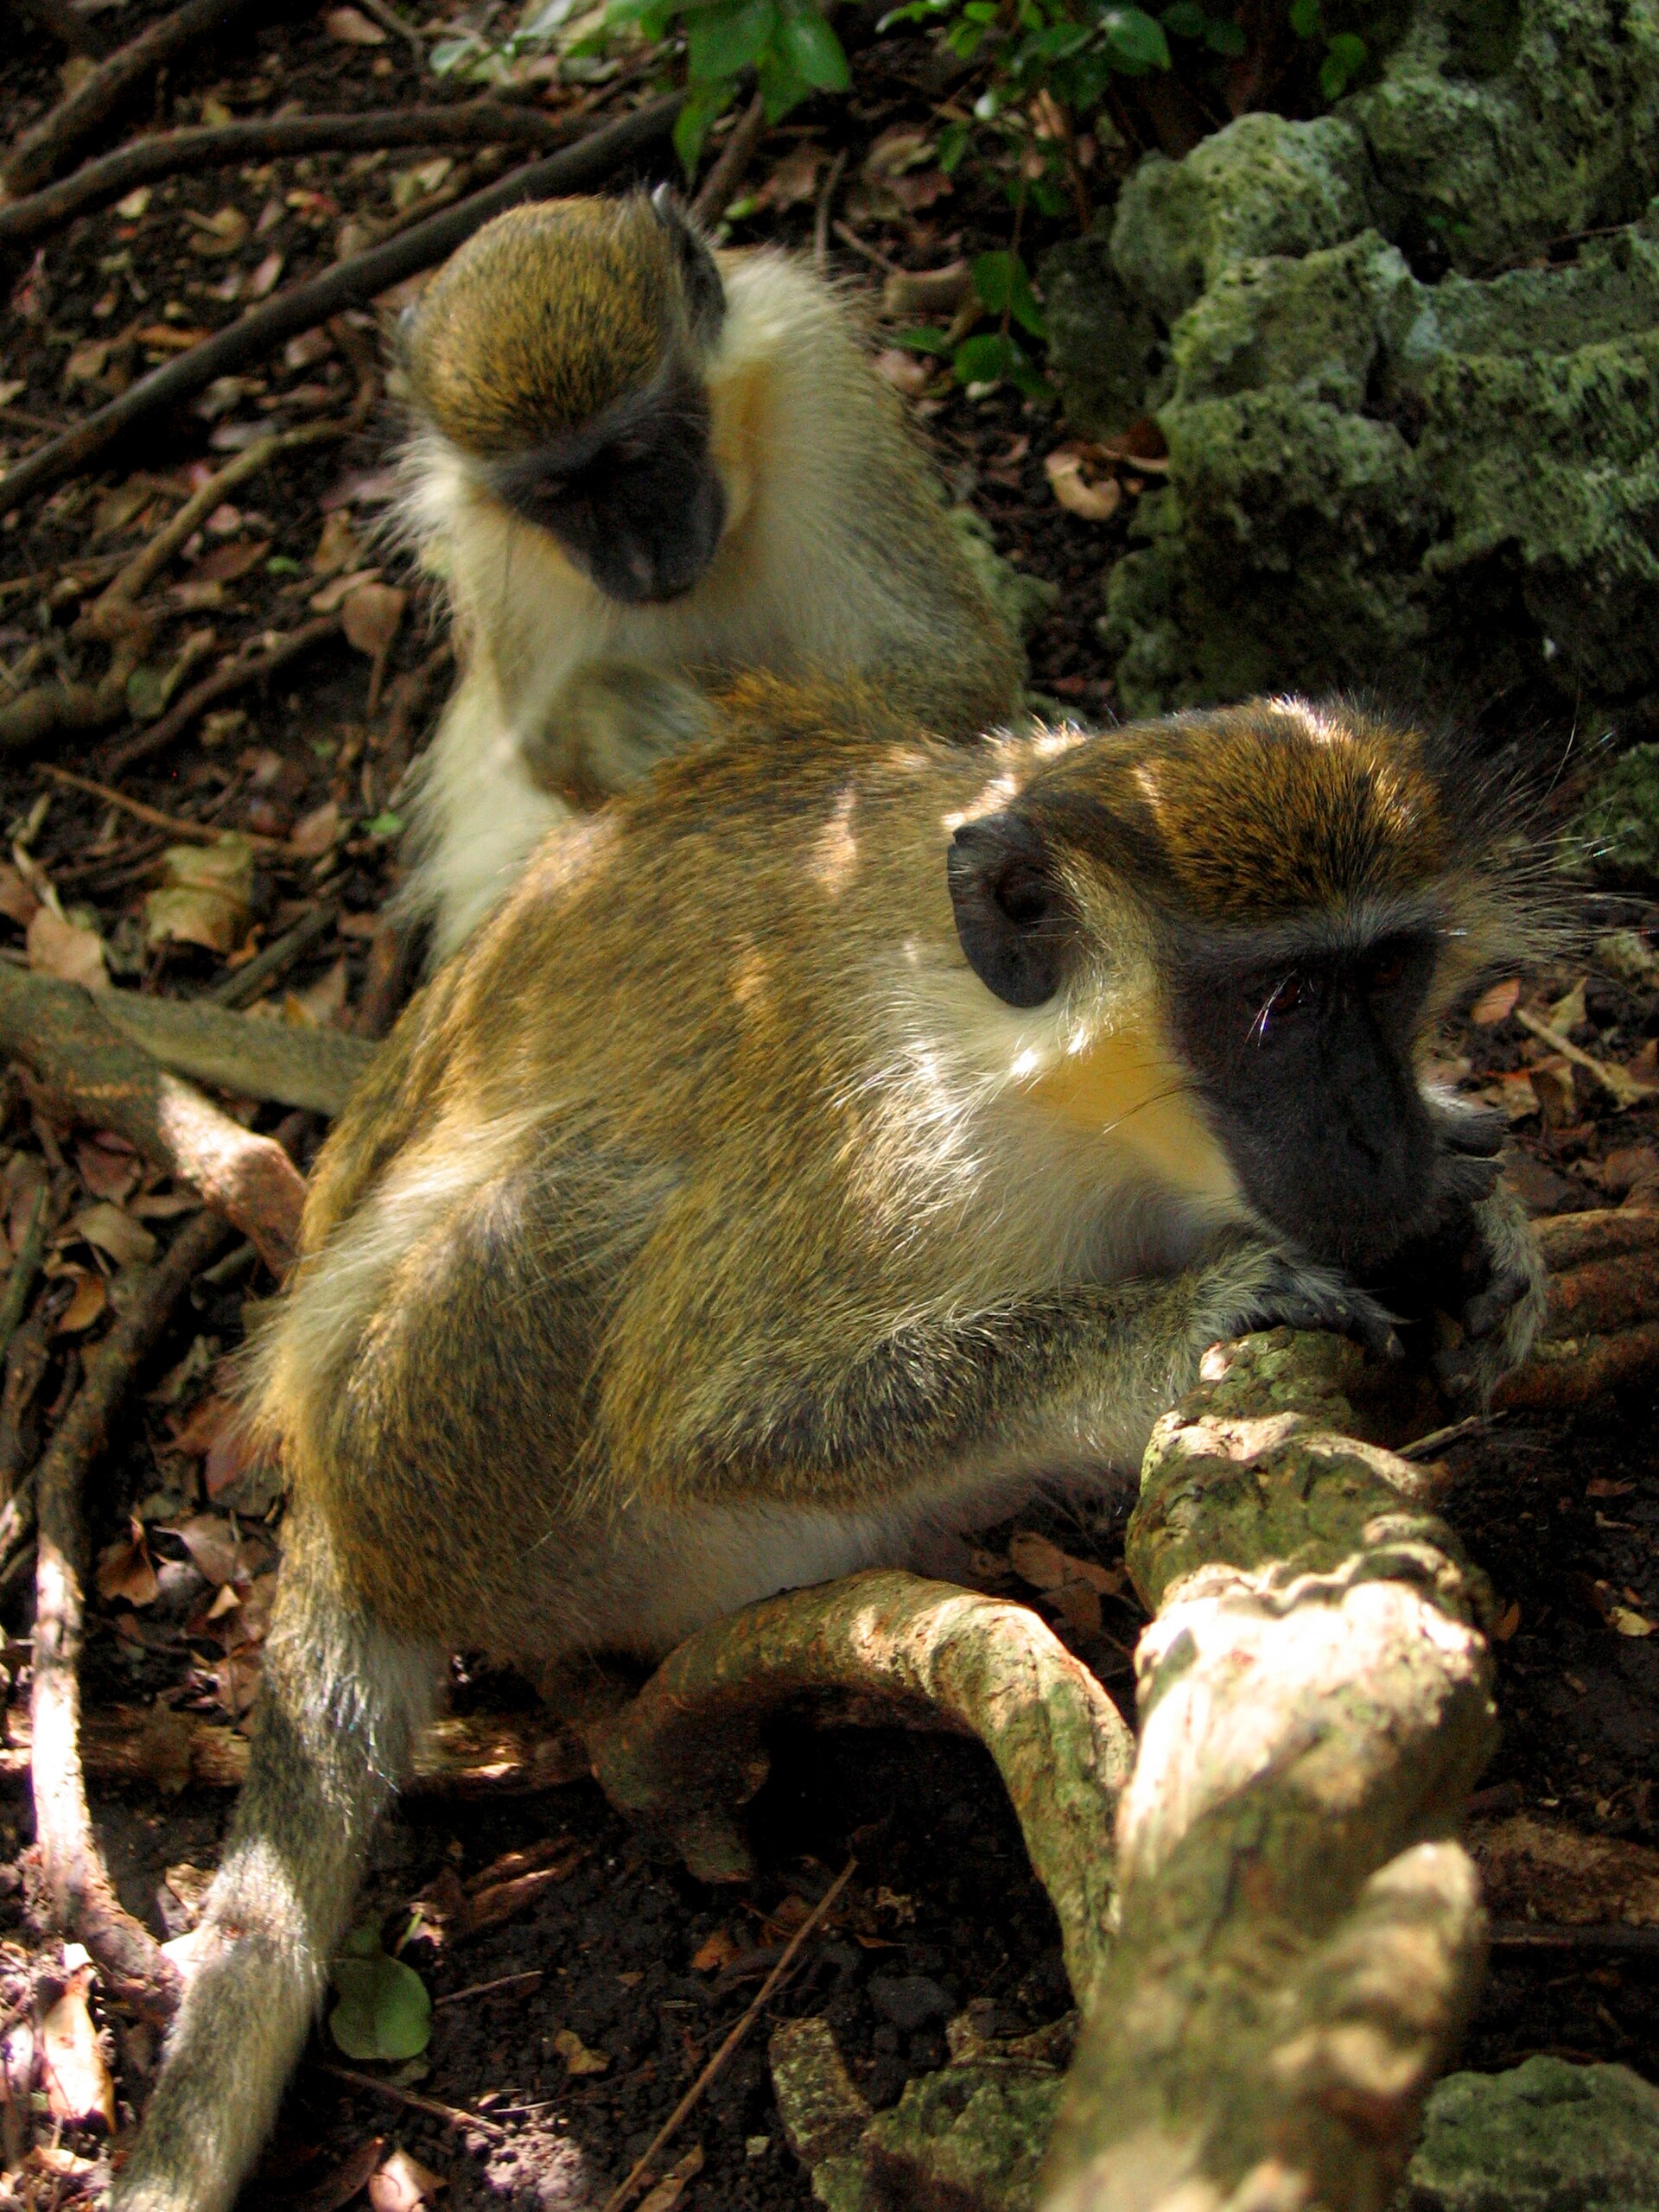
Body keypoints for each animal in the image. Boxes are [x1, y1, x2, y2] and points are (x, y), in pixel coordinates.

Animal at [112, 685, 1548, 2212]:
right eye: (1279, 1008)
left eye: (1388, 979)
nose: (1380, 1139)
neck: (1044, 1084)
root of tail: (338, 1514)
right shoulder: (876, 1147)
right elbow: (712, 1417)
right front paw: (1184, 1323)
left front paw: (1477, 1210)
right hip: (457, 1462)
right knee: (573, 1216)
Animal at [395, 189, 1024, 965]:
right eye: (553, 493)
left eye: (638, 452)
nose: (640, 559)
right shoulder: (491, 555)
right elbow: (543, 755)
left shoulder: (816, 387)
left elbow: (953, 669)